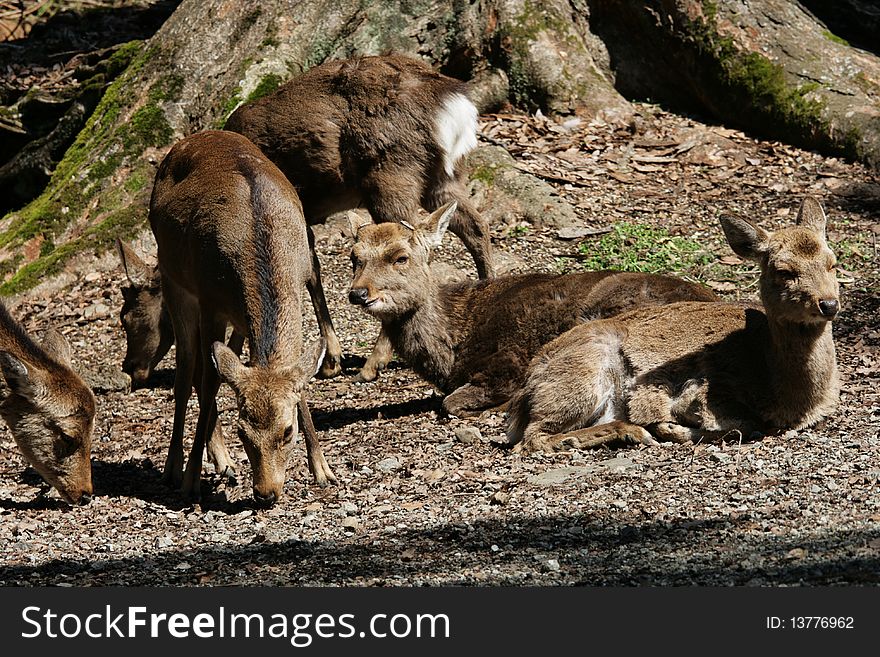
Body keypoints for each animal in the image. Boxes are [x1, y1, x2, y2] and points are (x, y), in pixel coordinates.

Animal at [150, 131, 334, 504]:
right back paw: (176, 467)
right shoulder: (210, 301)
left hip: (234, 320)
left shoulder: (303, 279)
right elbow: (208, 382)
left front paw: (323, 469)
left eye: (288, 430)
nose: (266, 492)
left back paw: (222, 462)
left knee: (216, 366)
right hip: (173, 279)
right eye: (242, 430)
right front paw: (192, 479)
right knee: (187, 372)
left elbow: (297, 374)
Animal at [506, 195, 844, 452]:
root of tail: (523, 393)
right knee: (532, 437)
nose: (828, 304)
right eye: (784, 271)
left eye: (833, 263)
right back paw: (630, 433)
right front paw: (672, 428)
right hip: (584, 372)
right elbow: (741, 426)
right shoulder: (703, 388)